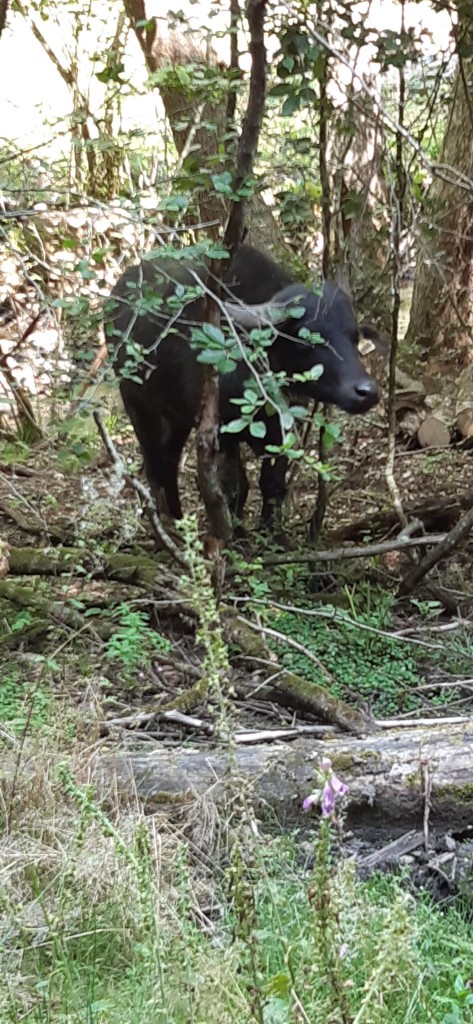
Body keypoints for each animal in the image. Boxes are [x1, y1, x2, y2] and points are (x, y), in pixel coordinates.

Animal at [106, 243, 380, 524]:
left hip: (176, 417)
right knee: (154, 465)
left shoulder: (281, 433)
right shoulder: (220, 434)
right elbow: (235, 488)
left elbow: (272, 484)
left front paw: (271, 529)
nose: (366, 392)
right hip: (138, 405)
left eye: (354, 337)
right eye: (307, 340)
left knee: (168, 461)